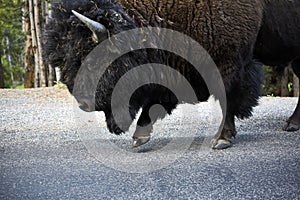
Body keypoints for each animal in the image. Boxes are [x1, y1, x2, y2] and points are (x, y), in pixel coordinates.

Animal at [43, 0, 300, 149]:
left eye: (90, 58)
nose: (83, 103)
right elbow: (153, 102)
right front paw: (139, 138)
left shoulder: (229, 61)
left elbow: (228, 96)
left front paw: (221, 139)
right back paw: (292, 124)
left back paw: (291, 124)